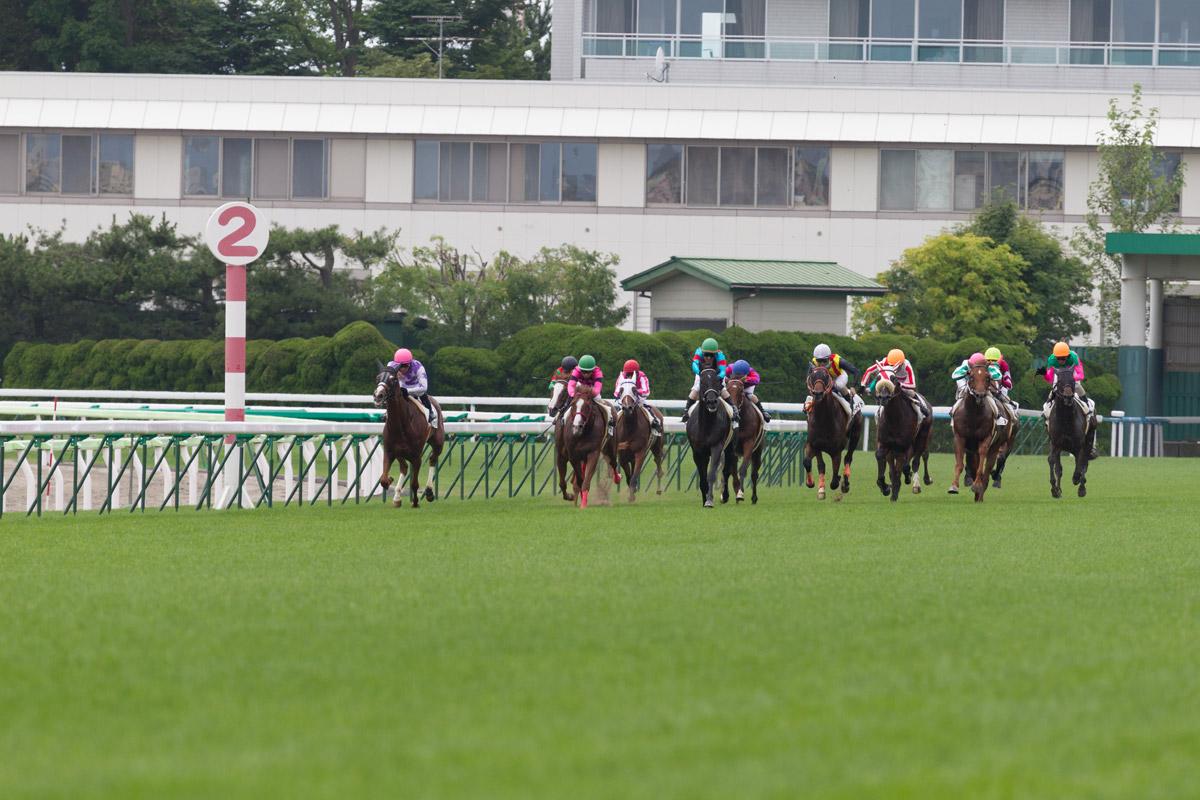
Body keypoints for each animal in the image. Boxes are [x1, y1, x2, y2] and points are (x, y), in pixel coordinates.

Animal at [369, 371, 446, 510]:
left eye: (393, 380)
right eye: (378, 378)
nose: (378, 395)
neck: (400, 424)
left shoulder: (416, 456)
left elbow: (414, 483)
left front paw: (415, 502)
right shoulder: (389, 451)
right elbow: (383, 480)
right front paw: (390, 482)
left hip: (438, 443)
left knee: (432, 459)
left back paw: (429, 492)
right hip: (400, 452)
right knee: (404, 467)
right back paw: (397, 498)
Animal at [686, 367, 729, 510]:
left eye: (717, 381)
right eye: (703, 382)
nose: (711, 401)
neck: (706, 426)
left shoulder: (716, 447)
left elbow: (711, 475)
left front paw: (709, 500)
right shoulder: (697, 452)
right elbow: (703, 478)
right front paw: (705, 499)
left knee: (727, 469)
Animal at [806, 367, 864, 503]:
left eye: (826, 377)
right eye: (812, 376)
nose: (818, 393)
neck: (823, 419)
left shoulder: (836, 450)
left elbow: (834, 479)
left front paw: (838, 480)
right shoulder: (815, 445)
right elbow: (819, 465)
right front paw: (819, 489)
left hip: (856, 434)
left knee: (848, 457)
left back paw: (845, 484)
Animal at [950, 364, 1008, 503]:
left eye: (988, 378)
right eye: (971, 376)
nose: (979, 395)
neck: (973, 414)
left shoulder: (985, 439)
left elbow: (982, 466)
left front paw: (976, 486)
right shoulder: (959, 438)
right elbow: (959, 464)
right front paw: (954, 486)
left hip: (995, 448)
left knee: (986, 473)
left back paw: (979, 495)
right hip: (972, 451)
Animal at [1046, 367, 1094, 496]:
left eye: (1072, 380)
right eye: (1059, 381)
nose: (1068, 397)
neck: (1065, 419)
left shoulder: (1079, 444)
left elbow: (1080, 463)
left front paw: (1077, 480)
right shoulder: (1055, 443)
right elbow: (1052, 462)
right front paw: (1055, 489)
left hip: (1089, 439)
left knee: (1084, 461)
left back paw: (1081, 487)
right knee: (1060, 468)